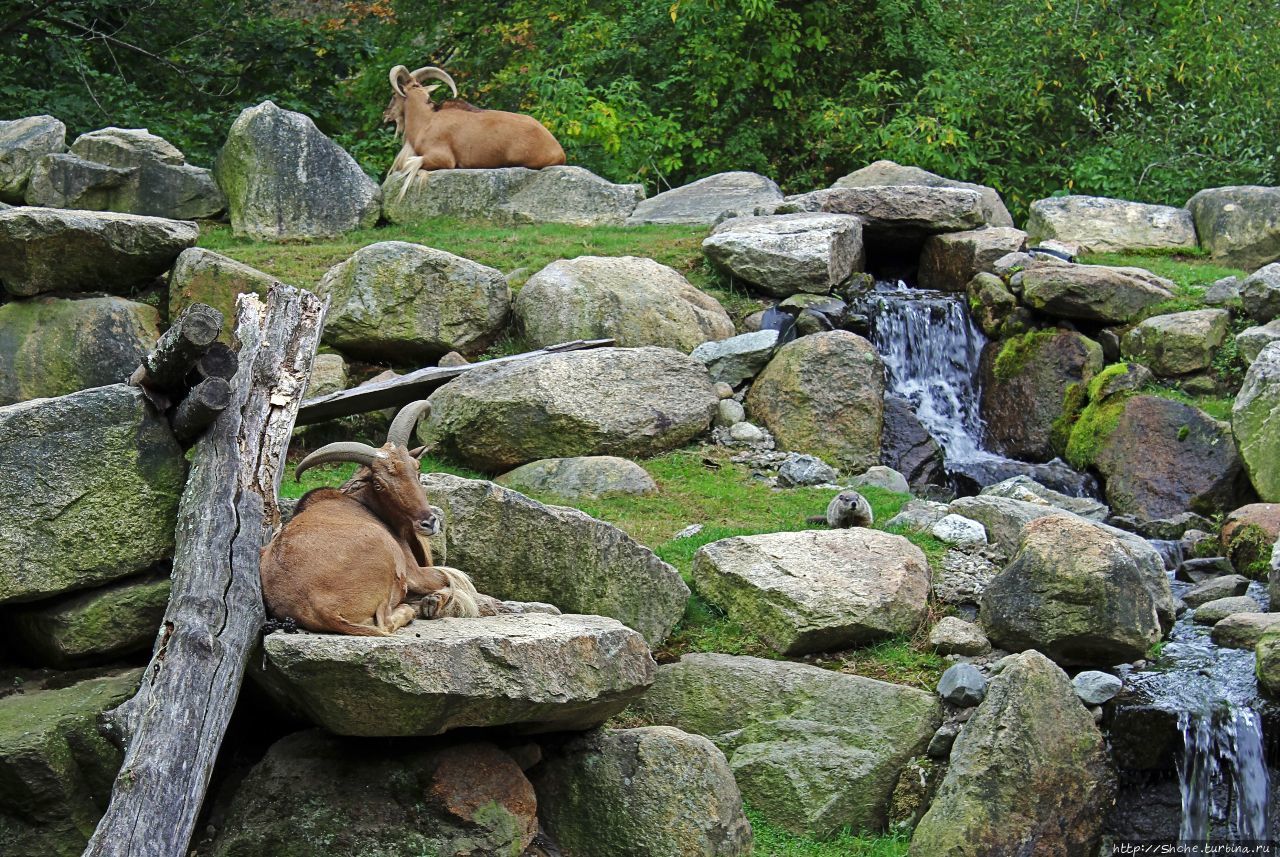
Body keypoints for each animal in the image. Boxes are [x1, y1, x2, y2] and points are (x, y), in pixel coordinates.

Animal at [259, 404, 488, 636]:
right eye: (378, 484)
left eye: (417, 469)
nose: (428, 522)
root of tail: (321, 608)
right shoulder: (415, 572)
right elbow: (452, 578)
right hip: (388, 553)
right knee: (386, 622)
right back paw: (412, 609)